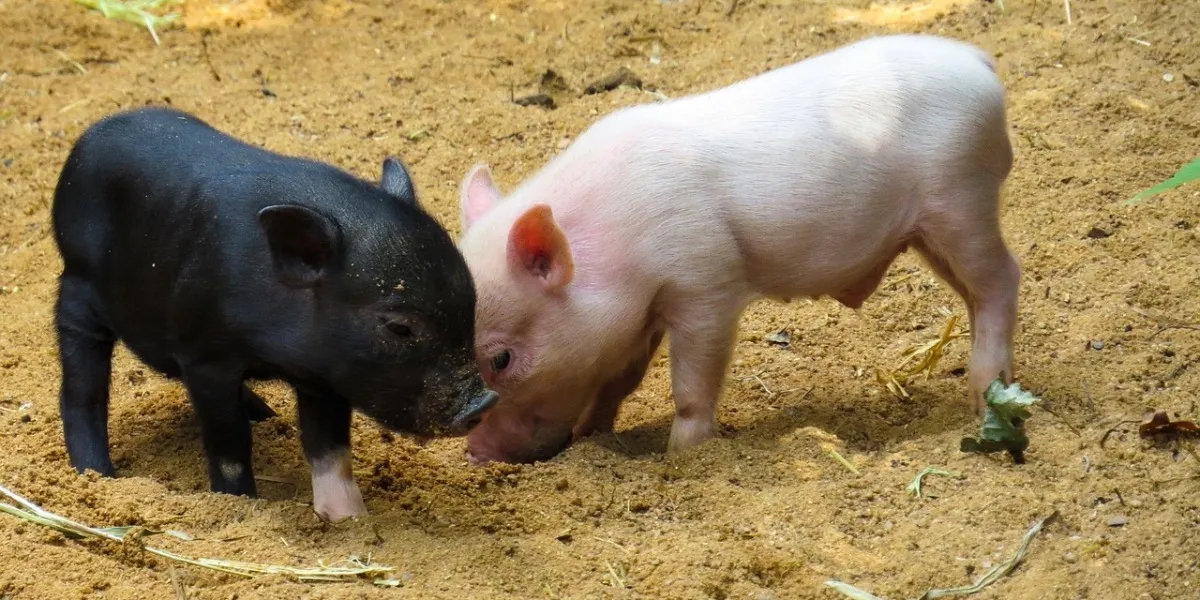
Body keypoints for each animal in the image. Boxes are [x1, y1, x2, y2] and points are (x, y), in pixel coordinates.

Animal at [52, 106, 497, 521]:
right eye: (400, 327)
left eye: (472, 303)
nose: (483, 402)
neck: (278, 356)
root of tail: (89, 138)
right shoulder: (205, 357)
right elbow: (230, 445)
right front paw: (242, 504)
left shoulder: (326, 374)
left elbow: (330, 448)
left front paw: (349, 521)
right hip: (76, 290)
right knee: (81, 391)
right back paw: (97, 475)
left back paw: (266, 414)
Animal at [457, 34, 1020, 464]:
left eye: (502, 358)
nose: (475, 451)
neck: (617, 240)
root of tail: (978, 61)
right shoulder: (643, 314)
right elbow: (620, 379)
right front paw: (590, 436)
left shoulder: (706, 282)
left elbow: (691, 384)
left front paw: (681, 455)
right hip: (929, 231)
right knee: (973, 294)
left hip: (961, 197)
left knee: (1001, 279)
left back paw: (983, 400)